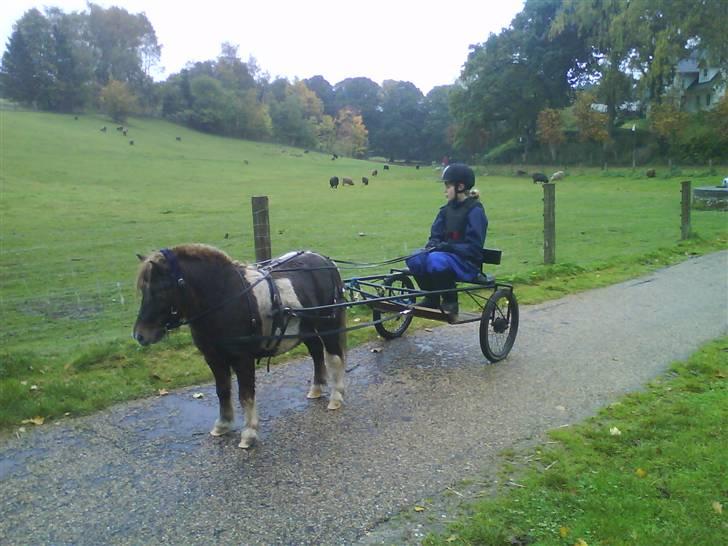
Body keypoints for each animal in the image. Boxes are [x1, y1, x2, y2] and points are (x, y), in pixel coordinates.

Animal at [133, 245, 346, 446]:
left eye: (161, 289)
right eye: (143, 289)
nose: (139, 335)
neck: (226, 297)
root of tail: (325, 260)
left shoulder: (242, 359)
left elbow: (245, 394)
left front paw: (249, 433)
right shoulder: (213, 358)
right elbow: (222, 391)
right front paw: (223, 424)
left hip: (328, 324)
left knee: (334, 357)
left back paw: (336, 396)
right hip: (306, 327)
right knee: (317, 352)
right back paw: (316, 388)